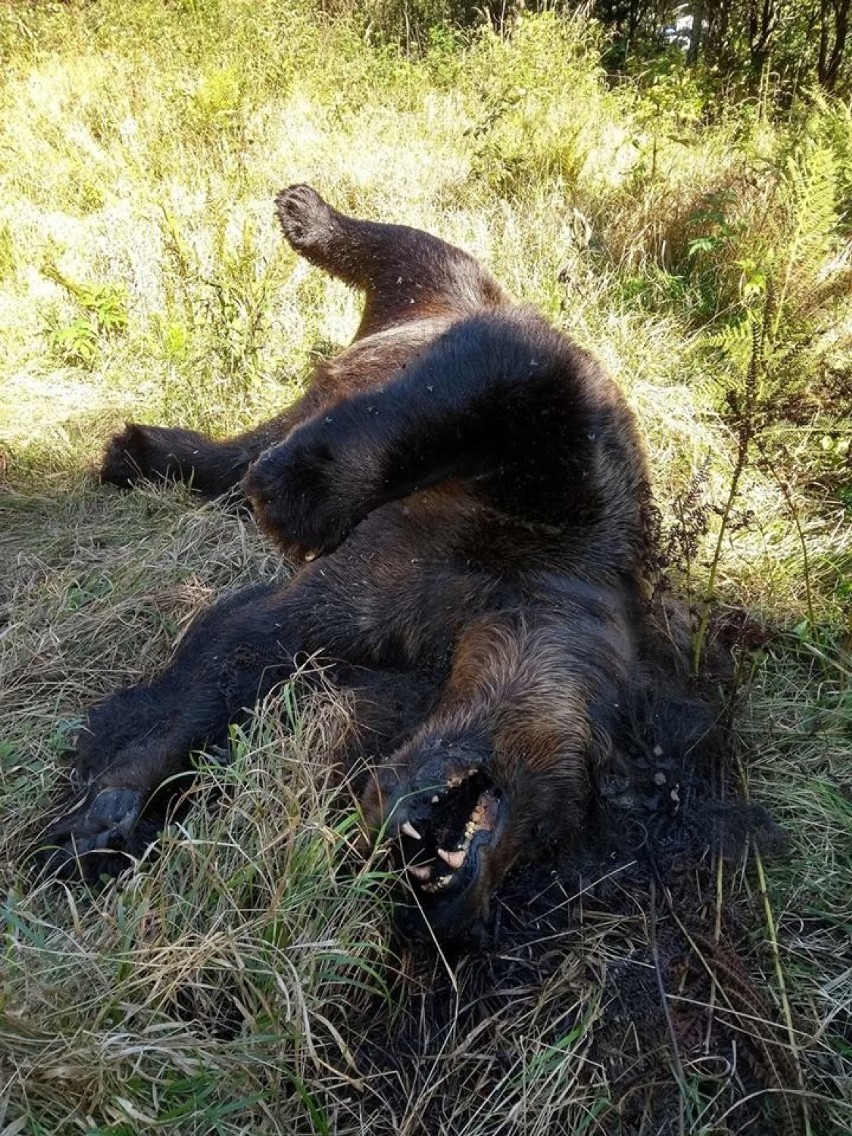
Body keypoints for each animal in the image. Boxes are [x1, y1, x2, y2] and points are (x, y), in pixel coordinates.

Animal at [41, 179, 695, 940]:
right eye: (567, 819)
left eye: (548, 850)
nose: (444, 906)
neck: (496, 607)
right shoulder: (564, 491)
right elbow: (500, 380)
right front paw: (300, 493)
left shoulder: (382, 618)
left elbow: (238, 652)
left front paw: (110, 815)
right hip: (438, 293)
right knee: (409, 254)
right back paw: (307, 214)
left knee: (234, 455)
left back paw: (139, 452)